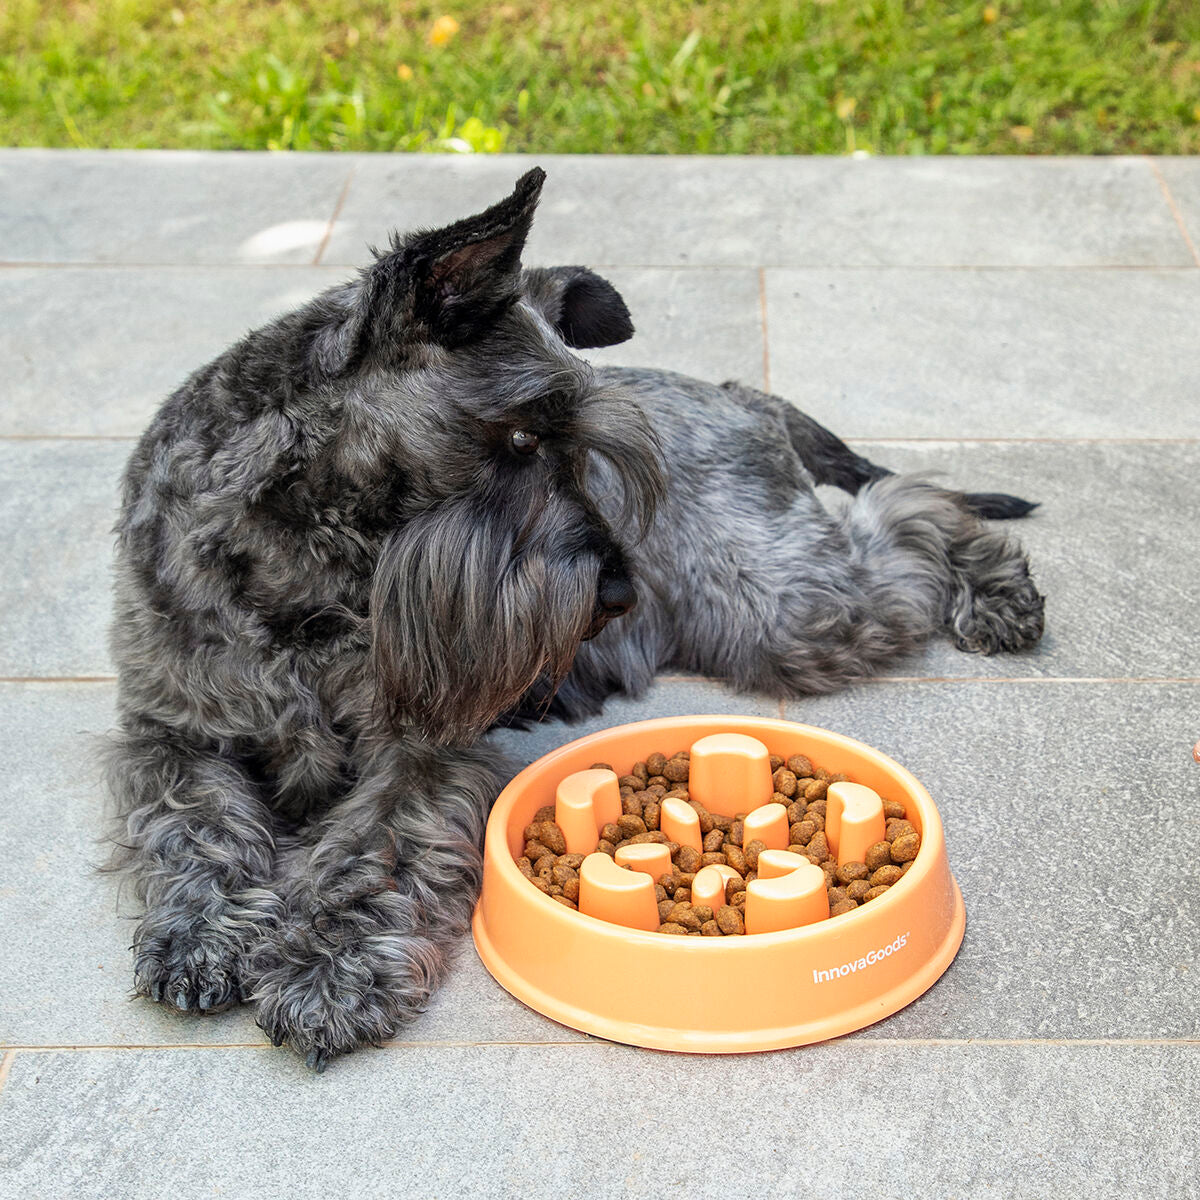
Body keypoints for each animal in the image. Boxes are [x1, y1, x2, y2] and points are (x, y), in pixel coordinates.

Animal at [103, 166, 1041, 1070]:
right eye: (521, 439)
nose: (619, 596)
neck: (309, 562)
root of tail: (742, 394)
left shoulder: (421, 755)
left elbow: (376, 851)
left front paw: (328, 970)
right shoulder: (173, 730)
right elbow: (192, 823)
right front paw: (200, 936)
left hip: (782, 602)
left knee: (913, 513)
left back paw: (1001, 593)